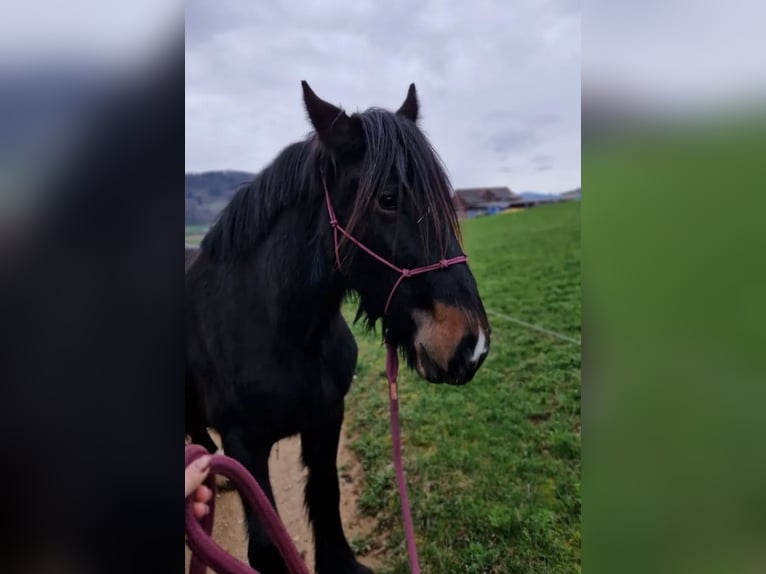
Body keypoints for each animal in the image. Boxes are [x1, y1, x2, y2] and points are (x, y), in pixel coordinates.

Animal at [186, 82, 492, 574]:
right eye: (387, 199)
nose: (472, 344)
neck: (287, 333)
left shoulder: (327, 418)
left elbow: (326, 499)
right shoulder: (245, 445)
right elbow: (266, 547)